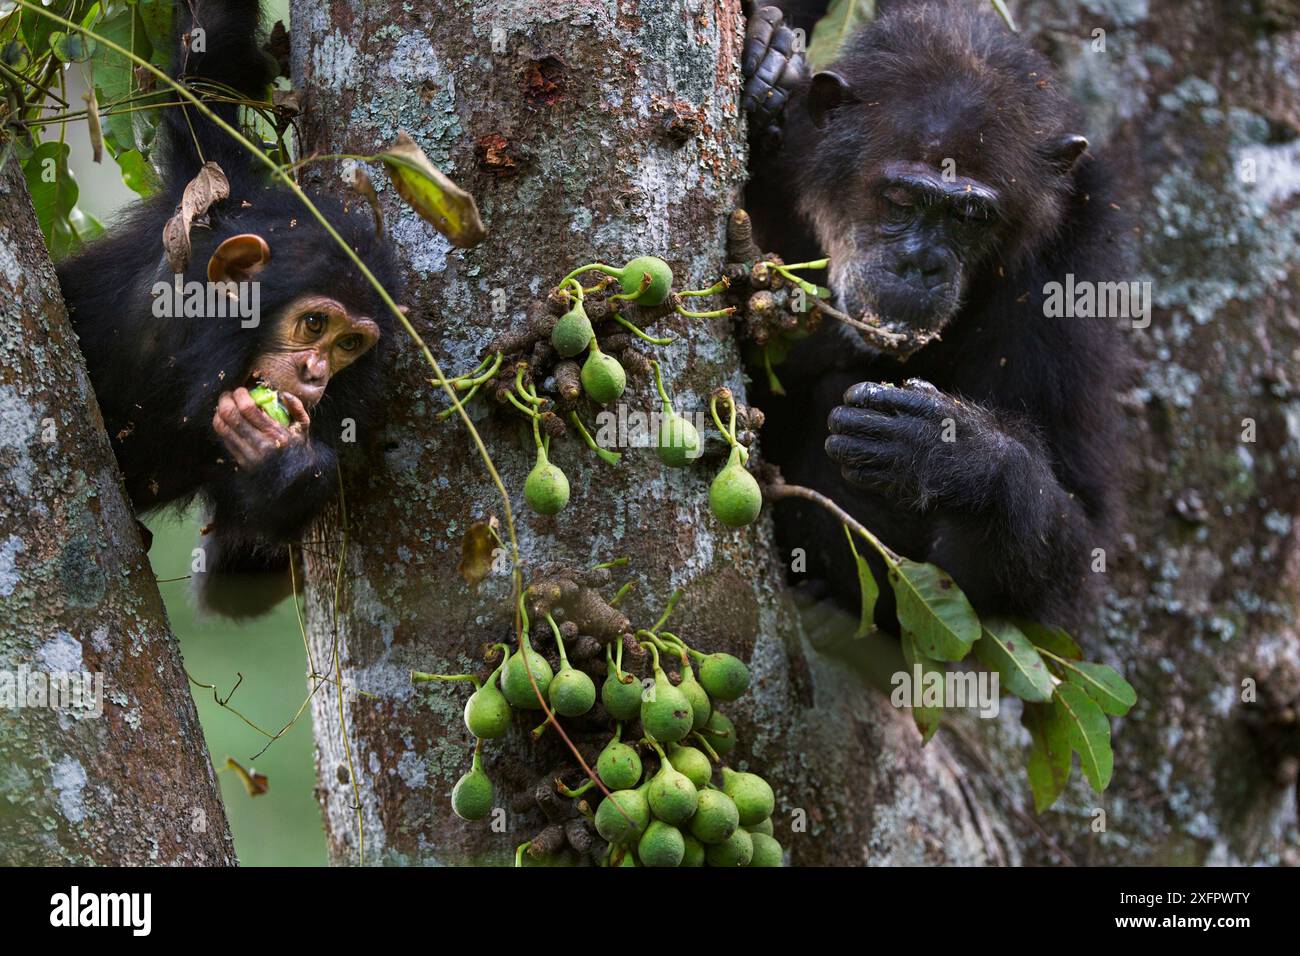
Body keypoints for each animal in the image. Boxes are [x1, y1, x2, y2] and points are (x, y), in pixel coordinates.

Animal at [57, 0, 400, 616]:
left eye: (348, 344)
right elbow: (204, 68)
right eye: (315, 323)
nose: (315, 372)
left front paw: (284, 465)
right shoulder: (201, 195)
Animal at [743, 1, 1128, 634]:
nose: (920, 264)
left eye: (970, 215)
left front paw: (960, 455)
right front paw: (766, 55)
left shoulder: (1077, 268)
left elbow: (1081, 528)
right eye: (902, 198)